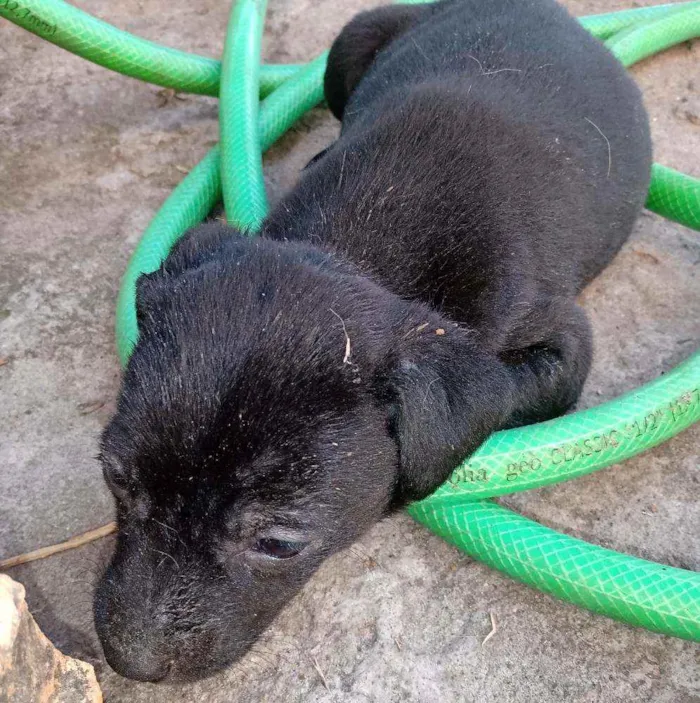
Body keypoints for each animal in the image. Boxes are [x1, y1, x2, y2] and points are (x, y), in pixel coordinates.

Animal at [93, 0, 652, 680]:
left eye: (278, 543)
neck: (359, 250)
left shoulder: (560, 344)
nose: (132, 662)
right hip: (350, 43)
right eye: (115, 478)